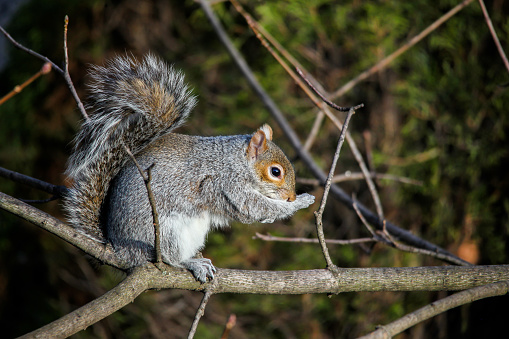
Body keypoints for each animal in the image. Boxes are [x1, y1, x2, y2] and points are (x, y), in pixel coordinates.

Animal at [63, 54, 314, 282]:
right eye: (275, 172)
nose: (291, 197)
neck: (235, 161)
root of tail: (121, 249)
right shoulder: (224, 183)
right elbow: (251, 206)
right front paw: (300, 203)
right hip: (164, 232)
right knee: (169, 258)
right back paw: (191, 263)